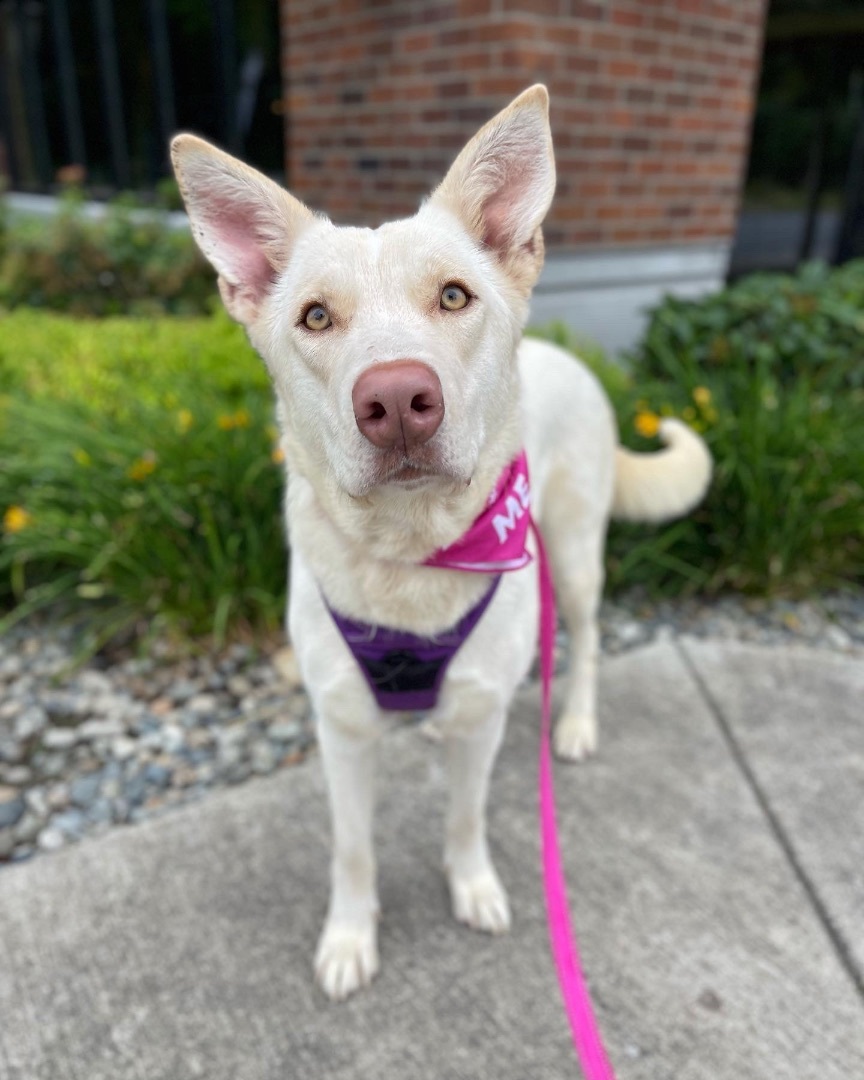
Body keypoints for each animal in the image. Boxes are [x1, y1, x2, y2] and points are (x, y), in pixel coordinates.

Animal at [171, 86, 712, 1002]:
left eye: (454, 298)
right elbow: (353, 849)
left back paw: (575, 723)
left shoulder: (480, 714)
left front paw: (473, 886)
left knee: (587, 642)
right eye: (316, 316)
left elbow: (466, 813)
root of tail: (566, 356)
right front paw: (350, 937)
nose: (396, 401)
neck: (411, 555)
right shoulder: (341, 729)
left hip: (575, 558)